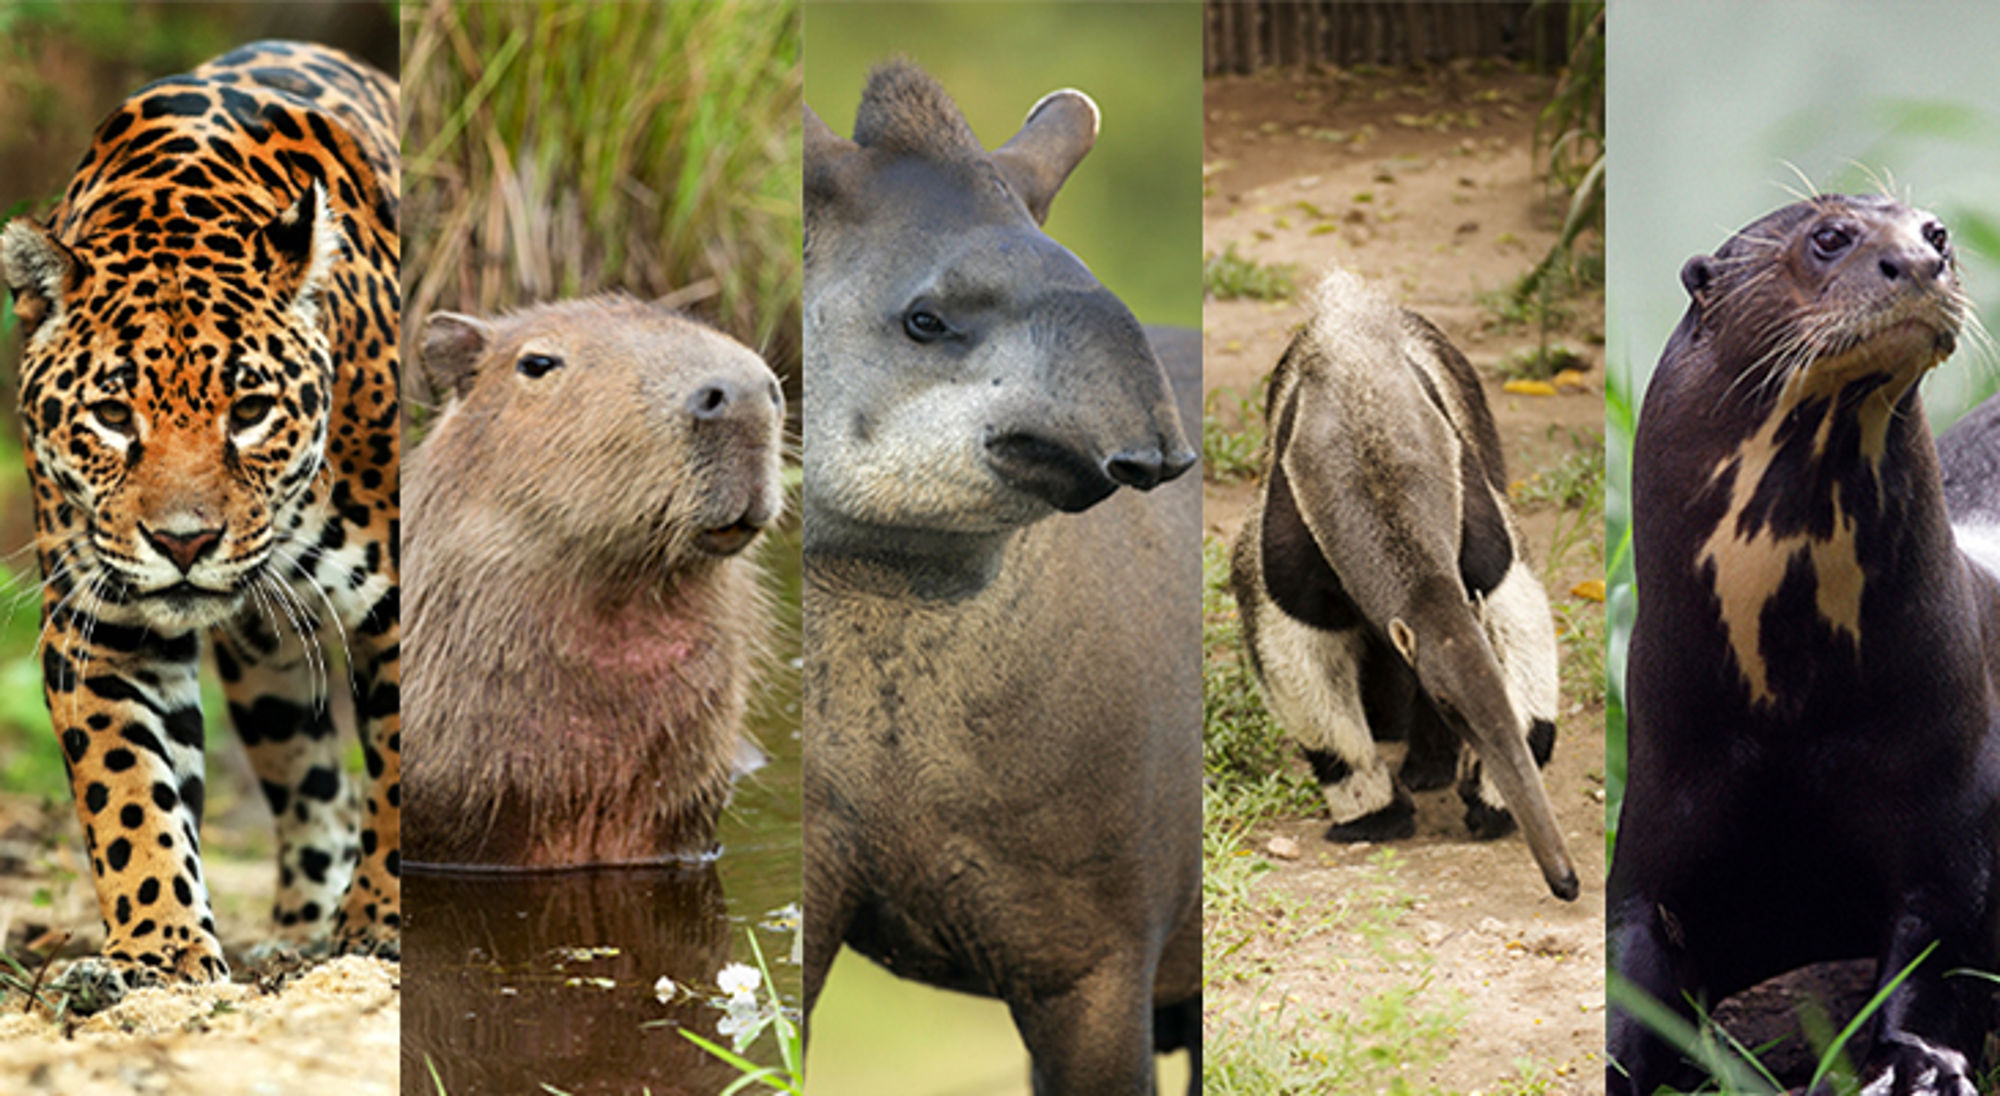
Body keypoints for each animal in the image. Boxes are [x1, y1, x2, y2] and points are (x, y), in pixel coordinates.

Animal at [0, 39, 400, 1010]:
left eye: (250, 412)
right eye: (112, 416)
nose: (183, 544)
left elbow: (407, 771)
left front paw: (383, 921)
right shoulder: (102, 630)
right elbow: (129, 795)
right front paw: (163, 950)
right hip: (269, 675)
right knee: (311, 784)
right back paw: (296, 932)